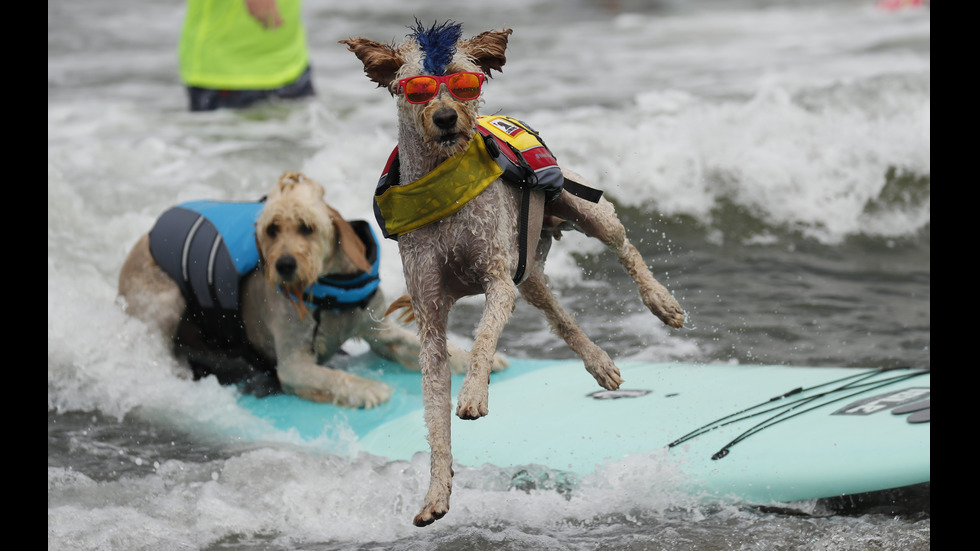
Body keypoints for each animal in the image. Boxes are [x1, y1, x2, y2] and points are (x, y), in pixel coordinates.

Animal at [117, 172, 498, 410]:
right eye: (271, 229)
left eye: (307, 228)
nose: (285, 265)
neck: (333, 293)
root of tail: (144, 238)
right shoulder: (293, 364)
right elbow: (333, 377)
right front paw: (366, 388)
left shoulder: (380, 332)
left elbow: (418, 345)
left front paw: (476, 358)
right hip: (166, 300)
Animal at [340, 21, 684, 528]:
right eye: (418, 89)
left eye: (464, 81)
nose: (447, 118)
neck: (442, 183)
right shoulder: (430, 314)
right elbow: (434, 411)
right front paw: (436, 493)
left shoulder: (498, 281)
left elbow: (483, 340)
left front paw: (473, 395)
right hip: (530, 271)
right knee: (560, 316)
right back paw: (599, 363)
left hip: (582, 206)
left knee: (624, 247)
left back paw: (661, 301)